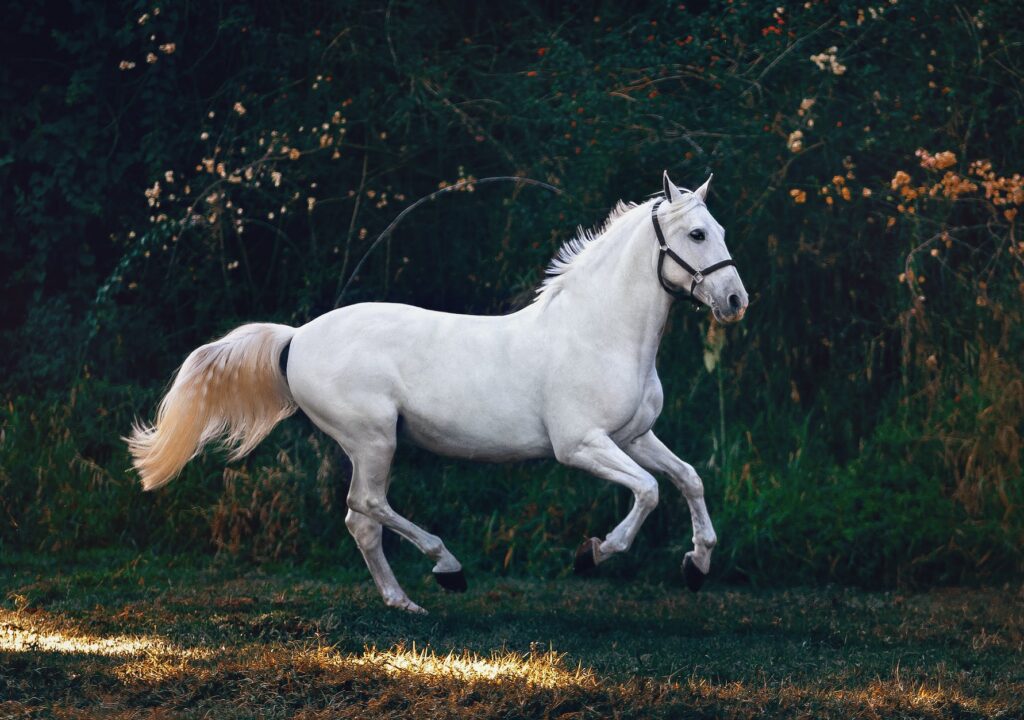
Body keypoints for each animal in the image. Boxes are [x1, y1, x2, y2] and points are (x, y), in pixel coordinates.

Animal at [132, 172, 749, 610]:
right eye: (697, 234)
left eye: (721, 231)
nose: (735, 301)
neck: (598, 332)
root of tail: (297, 337)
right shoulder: (580, 445)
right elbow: (648, 491)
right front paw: (592, 554)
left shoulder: (633, 436)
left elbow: (688, 479)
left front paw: (697, 566)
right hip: (373, 439)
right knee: (366, 506)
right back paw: (446, 569)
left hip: (371, 444)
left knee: (361, 520)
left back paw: (404, 602)